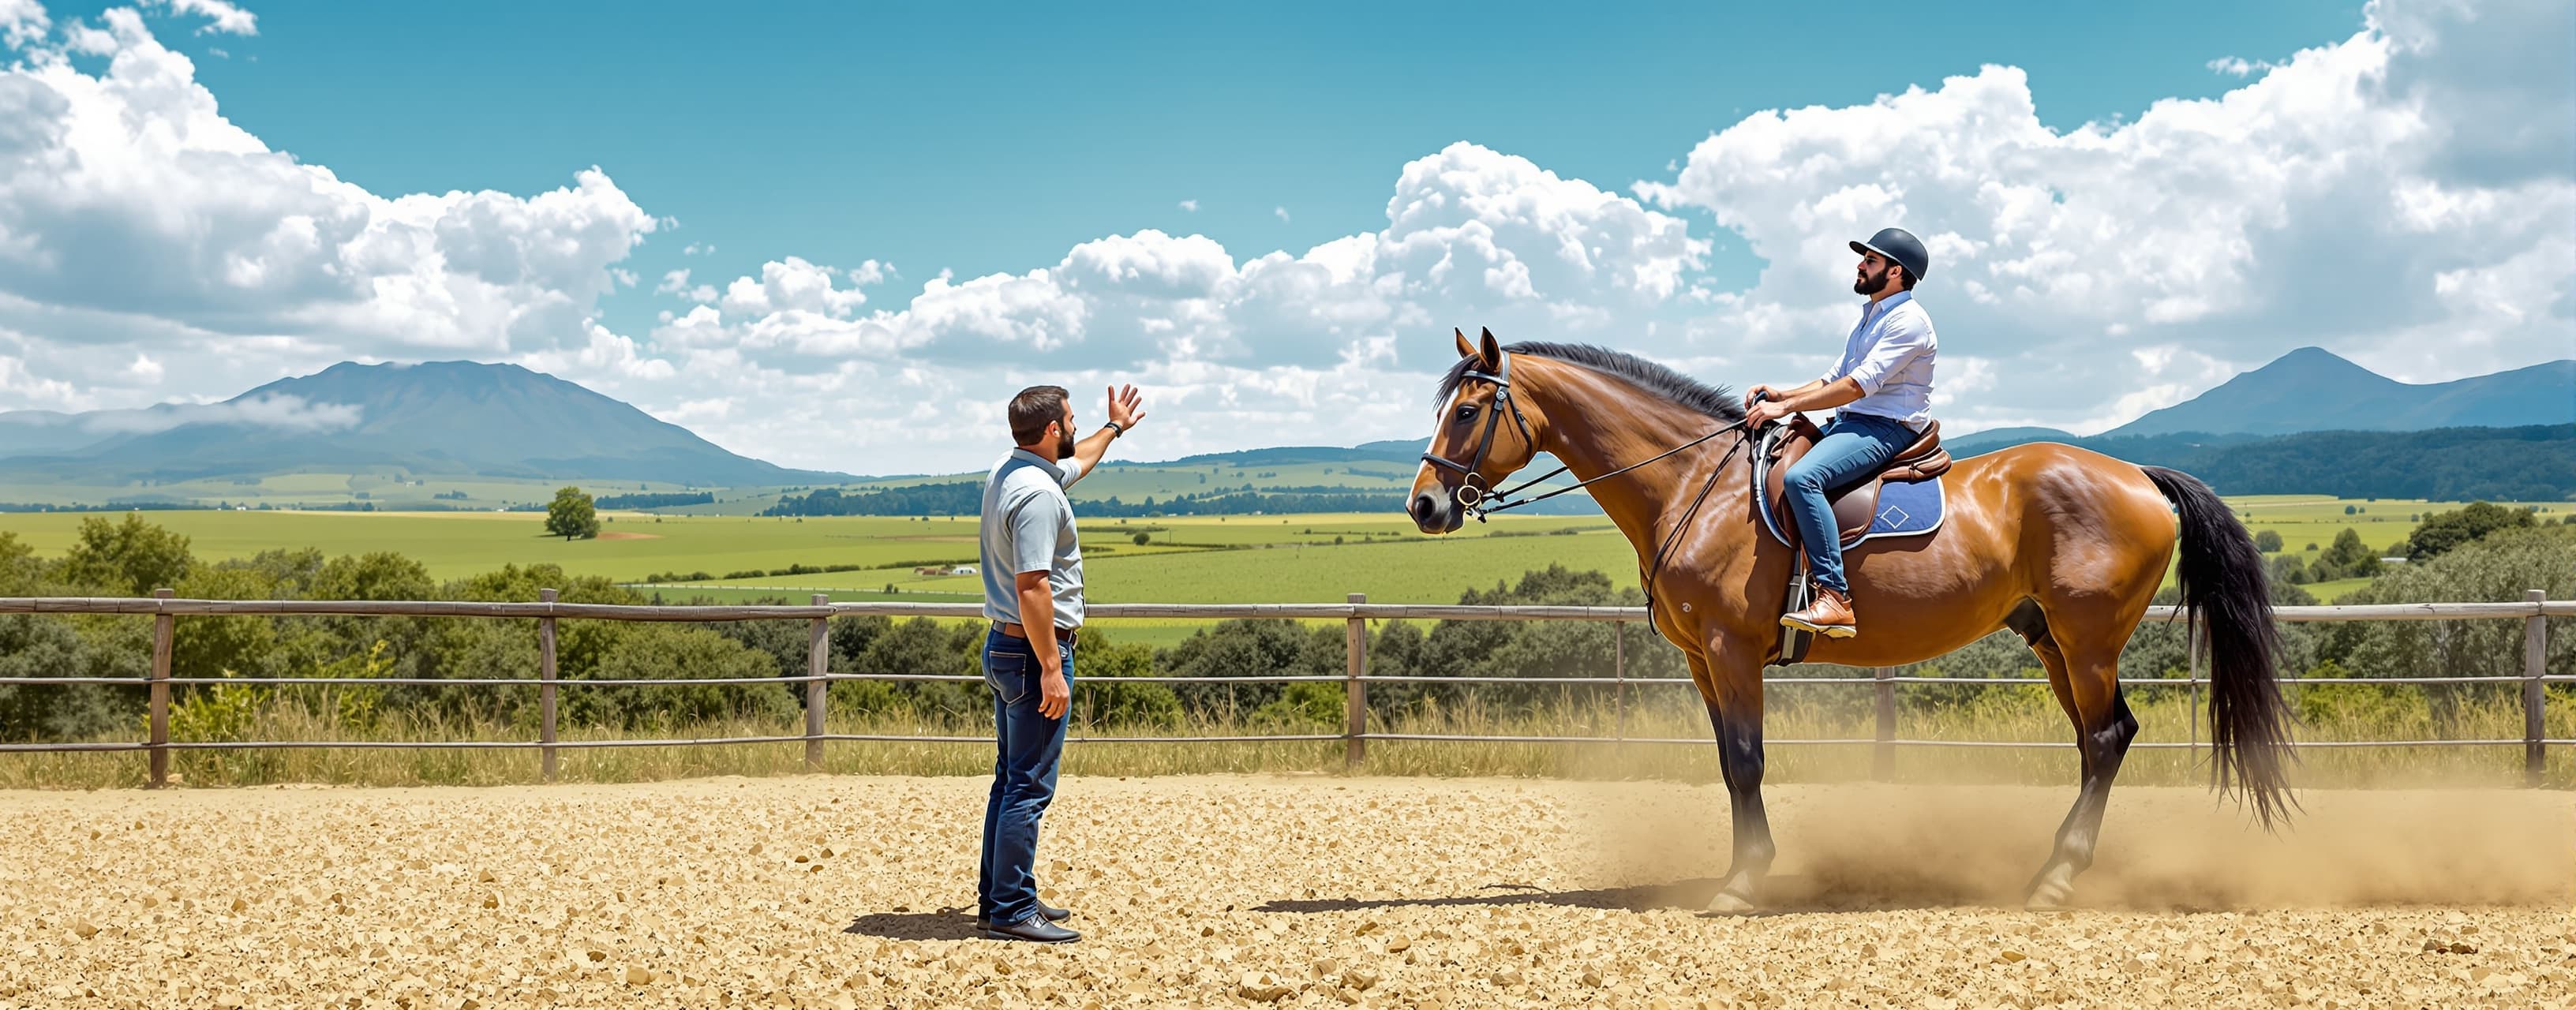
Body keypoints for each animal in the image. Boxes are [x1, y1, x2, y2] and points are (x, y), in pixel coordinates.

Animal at [1408, 328, 2294, 912]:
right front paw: (1745, 868)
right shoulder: (1702, 660)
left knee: (2106, 739)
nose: (1424, 506)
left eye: (1469, 412)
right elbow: (1729, 763)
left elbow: (1747, 762)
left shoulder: (1731, 650)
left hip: (2088, 640)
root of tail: (2137, 475)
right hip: (2052, 641)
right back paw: (2055, 866)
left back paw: (2055, 879)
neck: (1695, 483)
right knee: (2098, 739)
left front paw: (1743, 883)